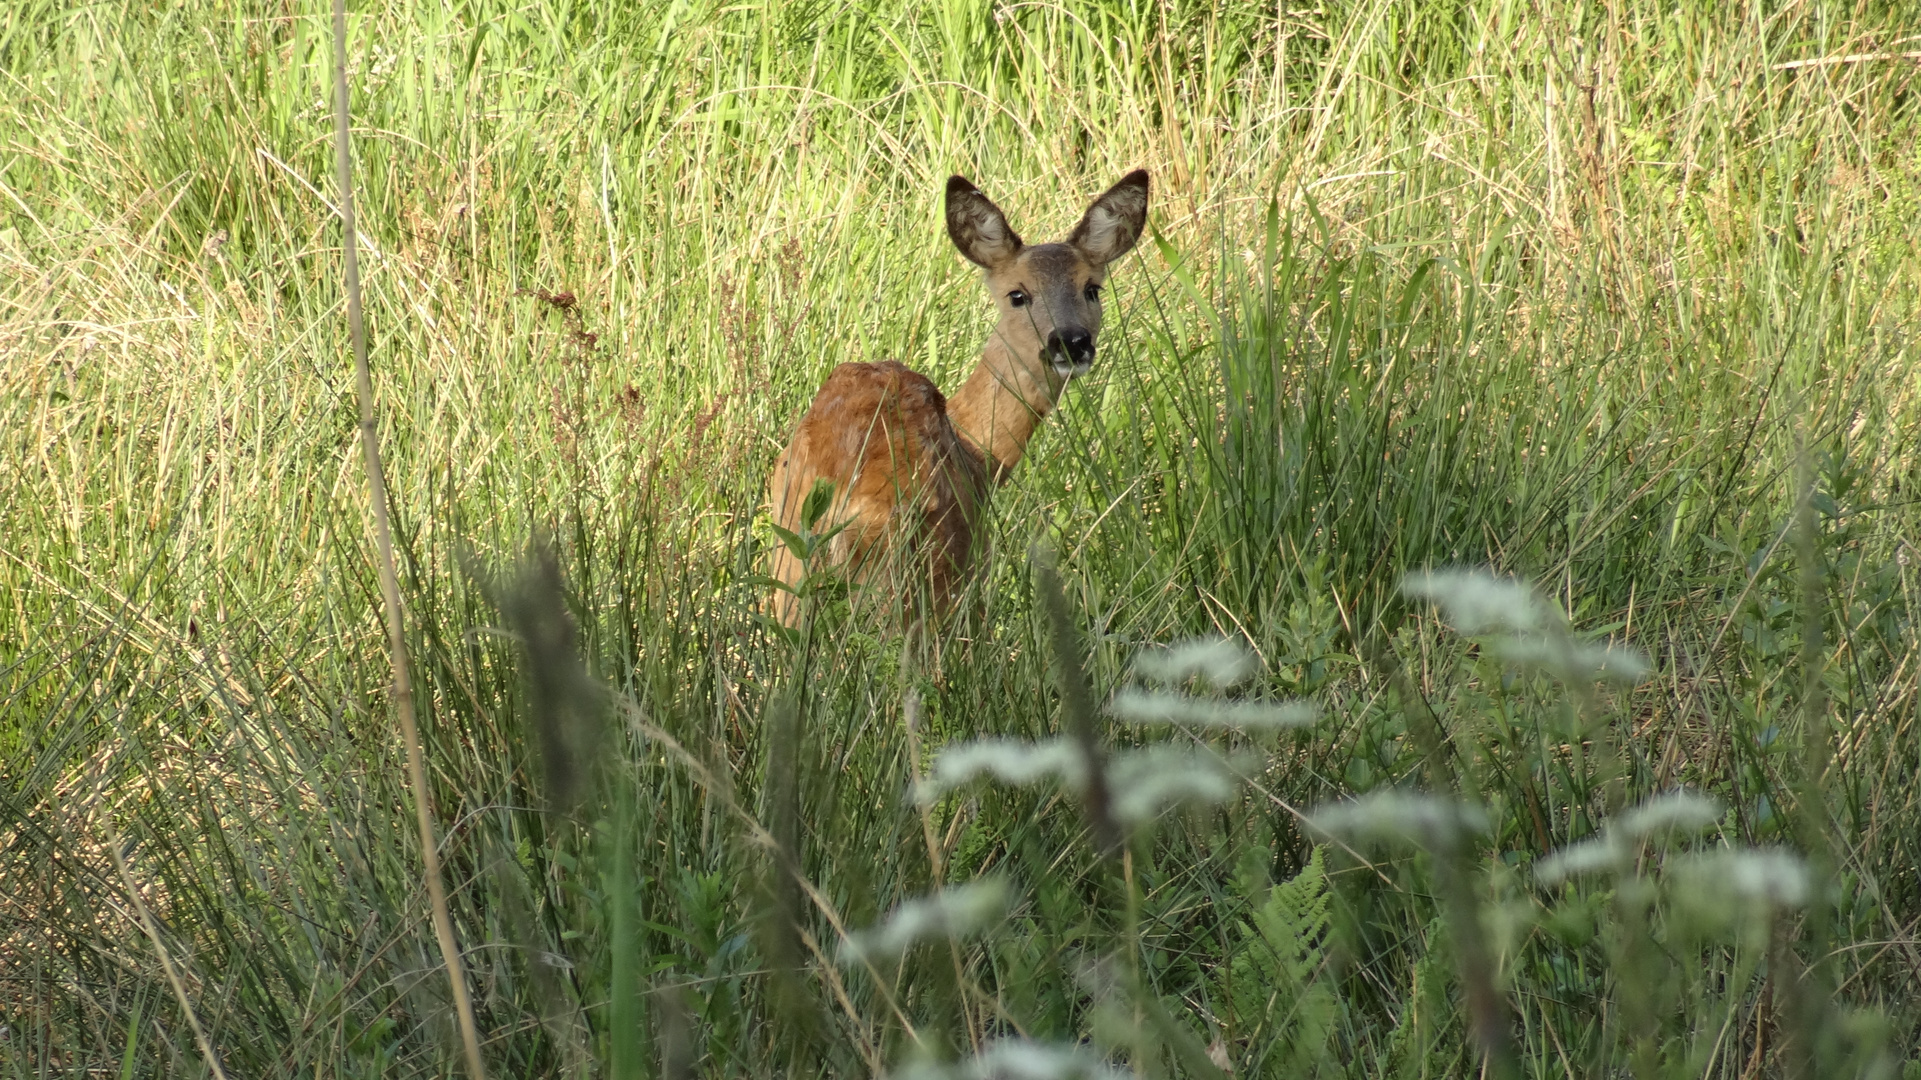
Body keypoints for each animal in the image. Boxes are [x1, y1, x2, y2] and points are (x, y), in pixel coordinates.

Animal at [764, 168, 1144, 622]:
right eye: (1018, 294)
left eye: (1092, 289)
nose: (1071, 342)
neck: (978, 452)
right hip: (917, 577)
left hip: (790, 569)